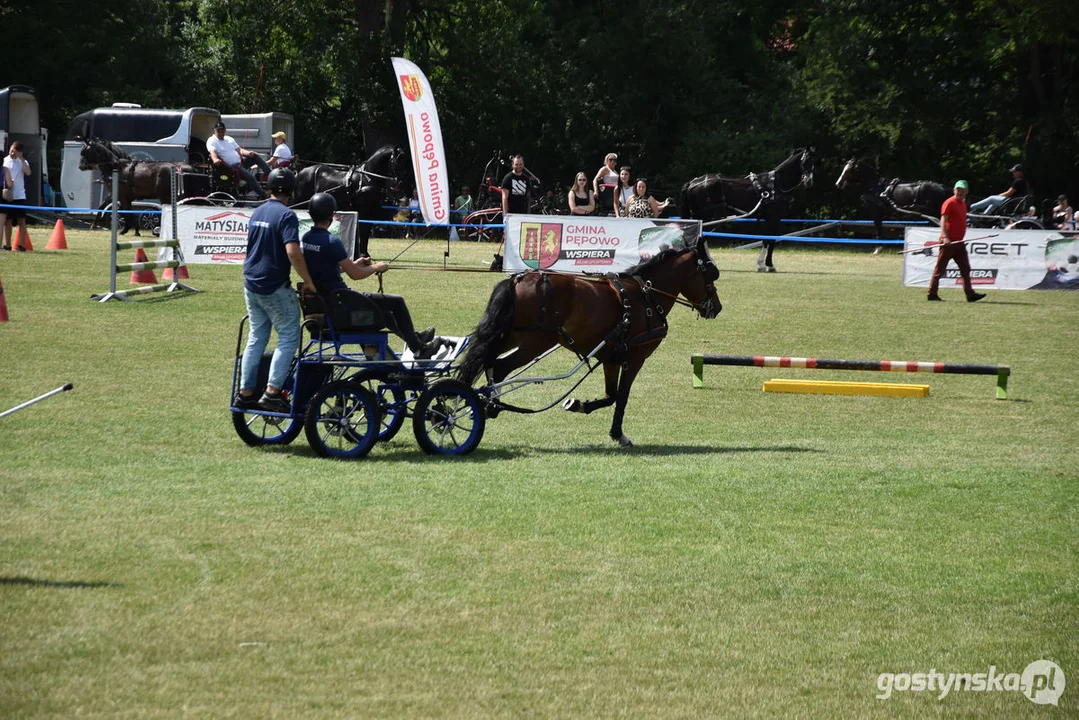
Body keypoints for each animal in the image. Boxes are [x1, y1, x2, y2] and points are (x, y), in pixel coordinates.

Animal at [451, 239, 720, 446]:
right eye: (710, 274)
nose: (717, 308)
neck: (648, 296)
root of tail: (518, 280)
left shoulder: (611, 358)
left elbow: (611, 396)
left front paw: (577, 404)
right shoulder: (634, 358)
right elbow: (621, 397)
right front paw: (617, 433)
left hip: (509, 336)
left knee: (485, 362)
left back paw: (480, 404)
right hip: (535, 341)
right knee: (499, 366)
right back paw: (490, 406)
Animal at [677, 147, 811, 272]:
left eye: (813, 161)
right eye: (804, 161)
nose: (809, 182)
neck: (776, 185)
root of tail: (693, 182)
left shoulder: (770, 219)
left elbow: (767, 240)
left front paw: (764, 264)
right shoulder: (774, 218)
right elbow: (769, 240)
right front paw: (767, 265)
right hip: (705, 215)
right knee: (700, 237)